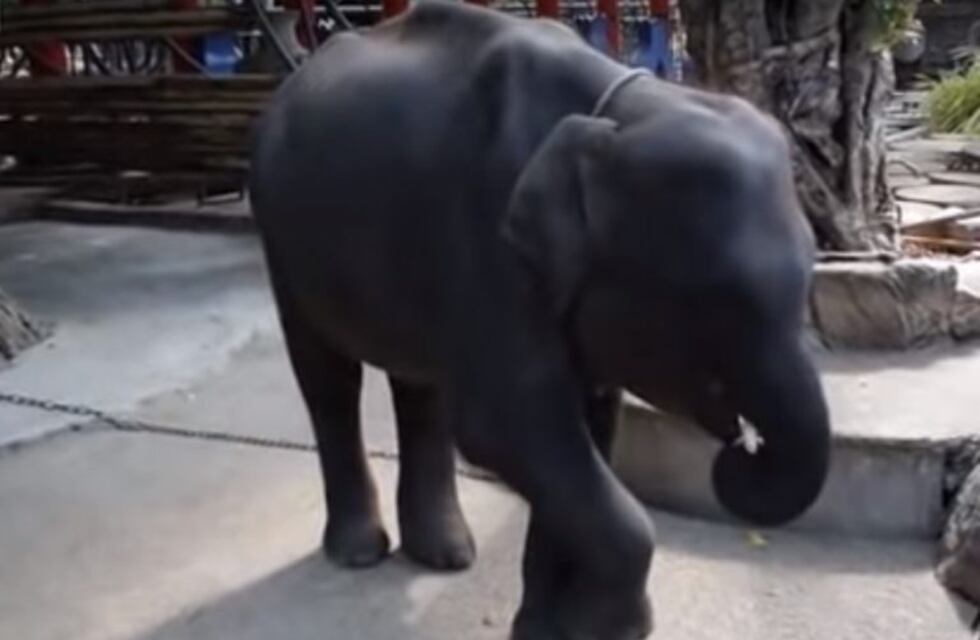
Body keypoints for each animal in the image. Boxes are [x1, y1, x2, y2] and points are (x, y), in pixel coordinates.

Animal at [248, 2, 831, 639]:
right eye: (712, 298)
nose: (736, 454)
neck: (620, 112)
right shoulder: (490, 243)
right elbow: (507, 426)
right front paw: (609, 625)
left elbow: (585, 431)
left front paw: (549, 628)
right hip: (280, 236)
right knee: (328, 380)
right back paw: (359, 553)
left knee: (421, 390)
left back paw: (447, 555)